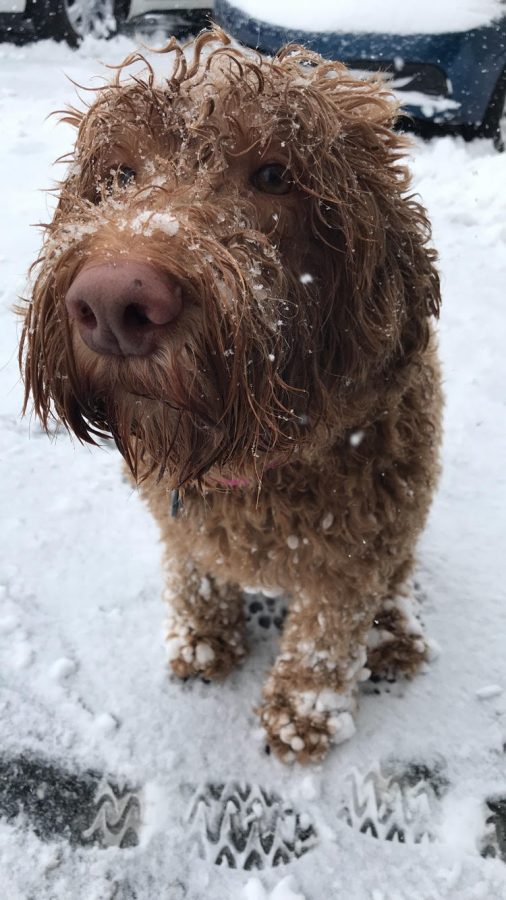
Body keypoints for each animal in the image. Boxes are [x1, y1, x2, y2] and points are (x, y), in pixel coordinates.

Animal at [17, 28, 440, 764]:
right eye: (119, 175)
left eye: (274, 175)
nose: (112, 300)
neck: (256, 461)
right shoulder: (181, 523)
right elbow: (197, 573)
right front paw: (203, 642)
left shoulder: (354, 559)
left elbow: (326, 639)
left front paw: (300, 720)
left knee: (397, 583)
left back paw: (395, 638)